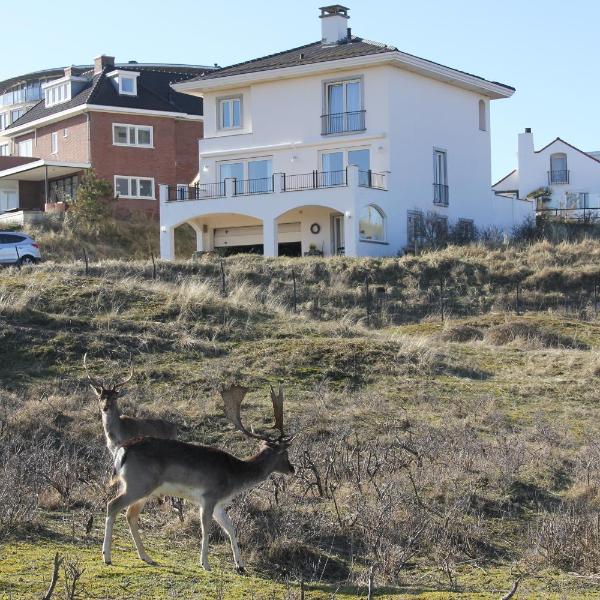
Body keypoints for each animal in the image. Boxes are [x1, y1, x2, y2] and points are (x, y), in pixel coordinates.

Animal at [103, 384, 296, 572]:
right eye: (285, 453)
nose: (292, 469)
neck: (234, 476)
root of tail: (122, 450)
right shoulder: (209, 497)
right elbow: (206, 530)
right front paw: (205, 564)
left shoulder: (219, 504)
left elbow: (231, 528)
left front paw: (240, 565)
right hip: (138, 484)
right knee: (112, 505)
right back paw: (107, 557)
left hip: (139, 488)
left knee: (130, 515)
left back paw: (146, 557)